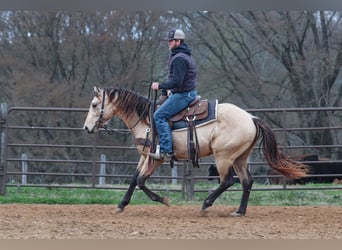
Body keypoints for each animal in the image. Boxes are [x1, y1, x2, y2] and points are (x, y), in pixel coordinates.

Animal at [83, 87, 310, 216]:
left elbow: (140, 180)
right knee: (247, 182)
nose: (86, 128)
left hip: (223, 156)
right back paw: (239, 211)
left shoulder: (156, 158)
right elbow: (134, 179)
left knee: (228, 181)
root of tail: (251, 118)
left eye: (94, 104)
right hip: (240, 157)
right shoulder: (145, 155)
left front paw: (163, 200)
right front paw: (121, 205)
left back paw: (206, 204)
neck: (147, 120)